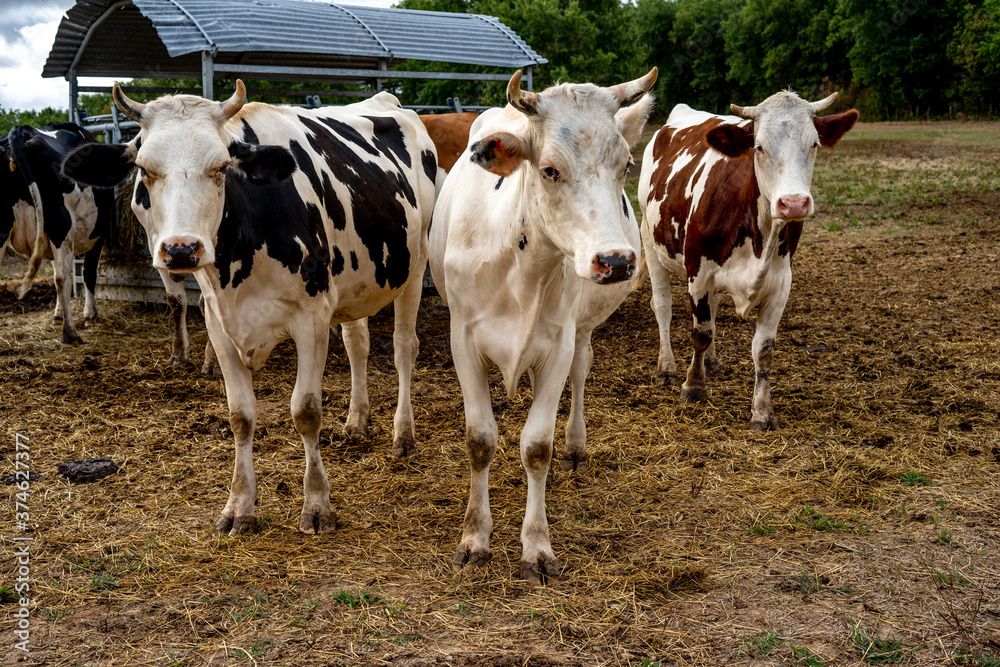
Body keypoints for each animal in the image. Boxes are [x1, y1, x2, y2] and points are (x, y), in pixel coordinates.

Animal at [0, 123, 114, 344]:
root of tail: (21, 130)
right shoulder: (98, 236)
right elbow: (87, 274)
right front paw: (89, 316)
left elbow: (55, 274)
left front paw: (57, 314)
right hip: (61, 224)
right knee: (63, 278)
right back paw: (70, 333)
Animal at [65, 79, 434, 536]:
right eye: (144, 170)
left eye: (222, 167)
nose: (181, 249)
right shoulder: (218, 323)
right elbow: (240, 415)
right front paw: (239, 506)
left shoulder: (312, 318)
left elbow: (306, 411)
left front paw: (317, 505)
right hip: (357, 283)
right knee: (357, 345)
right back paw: (356, 422)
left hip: (415, 265)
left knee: (403, 347)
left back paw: (404, 435)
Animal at [428, 66, 656, 580]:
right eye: (549, 169)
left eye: (626, 165)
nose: (616, 261)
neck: (522, 267)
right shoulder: (462, 340)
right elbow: (480, 440)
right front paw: (475, 536)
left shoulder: (558, 345)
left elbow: (536, 447)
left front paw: (536, 545)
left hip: (582, 330)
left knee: (581, 374)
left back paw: (575, 445)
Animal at [636, 91, 856, 430]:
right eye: (759, 146)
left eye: (814, 144)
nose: (794, 203)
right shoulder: (697, 273)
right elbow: (700, 333)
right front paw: (693, 387)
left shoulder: (780, 284)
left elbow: (763, 349)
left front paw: (762, 412)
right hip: (651, 243)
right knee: (662, 306)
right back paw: (667, 368)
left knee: (713, 309)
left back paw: (712, 363)